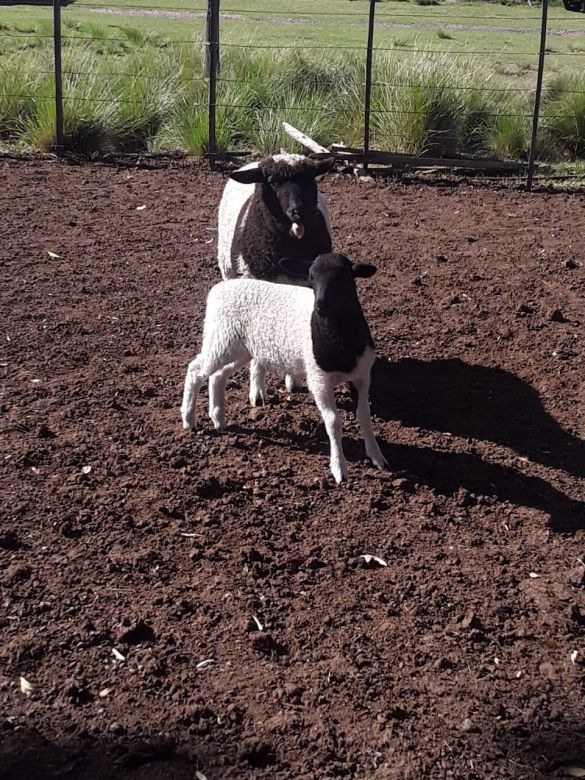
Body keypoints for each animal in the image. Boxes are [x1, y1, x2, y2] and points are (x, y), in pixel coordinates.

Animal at [180, 251, 386, 482]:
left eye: (344, 277)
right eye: (311, 277)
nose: (320, 306)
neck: (340, 340)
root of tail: (219, 289)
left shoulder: (362, 376)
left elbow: (364, 415)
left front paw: (377, 456)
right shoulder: (319, 380)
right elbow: (334, 422)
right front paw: (339, 468)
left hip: (239, 348)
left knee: (217, 376)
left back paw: (218, 419)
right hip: (220, 338)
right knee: (195, 370)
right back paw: (189, 419)